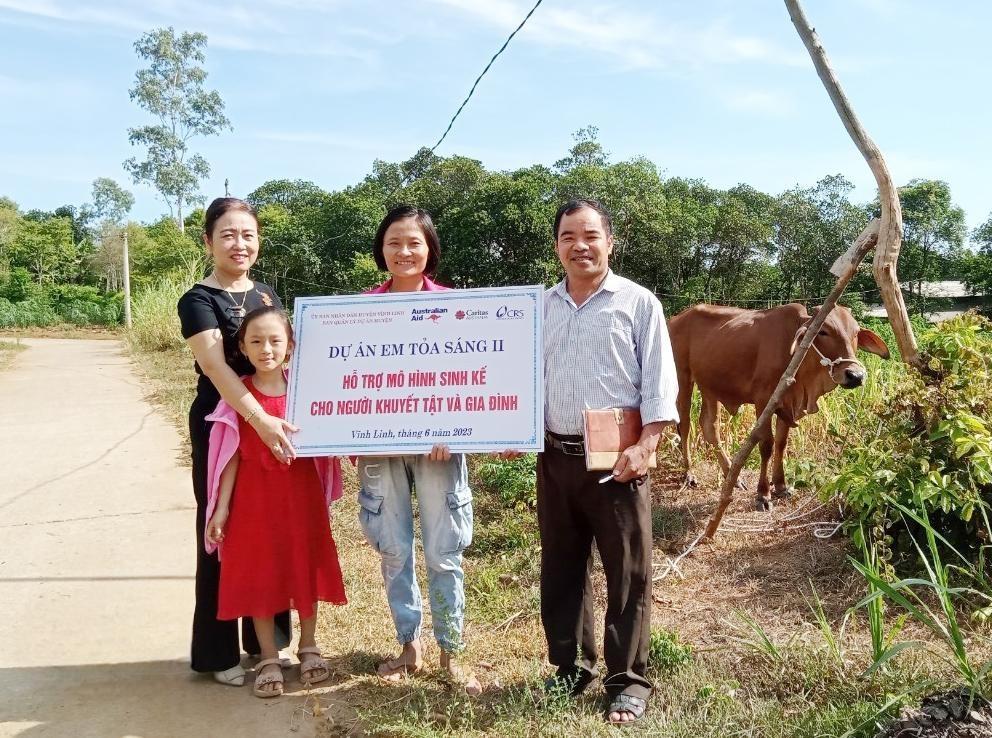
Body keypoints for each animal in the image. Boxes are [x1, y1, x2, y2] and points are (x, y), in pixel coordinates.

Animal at [667, 302, 890, 510]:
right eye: (823, 331)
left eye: (856, 333)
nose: (855, 376)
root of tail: (675, 319)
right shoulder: (763, 402)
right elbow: (767, 445)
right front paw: (763, 495)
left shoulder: (787, 405)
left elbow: (782, 444)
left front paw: (781, 486)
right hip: (682, 378)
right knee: (684, 425)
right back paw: (689, 474)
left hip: (709, 386)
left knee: (709, 426)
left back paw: (732, 475)